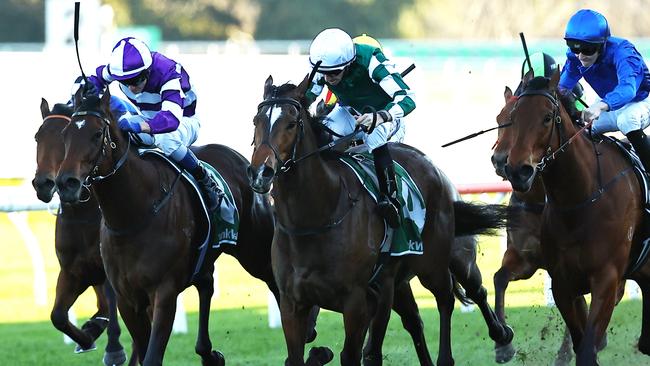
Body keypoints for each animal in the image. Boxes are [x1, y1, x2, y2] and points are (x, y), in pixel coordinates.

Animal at [32, 98, 128, 364]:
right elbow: (58, 316)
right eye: (37, 137)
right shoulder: (73, 271)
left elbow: (111, 311)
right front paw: (87, 336)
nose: (43, 183)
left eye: (62, 138)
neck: (82, 215)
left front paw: (113, 348)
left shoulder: (109, 272)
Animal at [55, 89, 280, 366]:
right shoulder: (126, 297)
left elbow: (151, 356)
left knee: (275, 281)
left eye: (97, 134)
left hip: (255, 251)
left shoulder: (164, 292)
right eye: (65, 135)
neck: (132, 217)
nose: (66, 183)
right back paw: (209, 353)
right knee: (206, 283)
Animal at [247, 76, 506, 364]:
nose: (261, 172)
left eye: (291, 123)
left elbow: (356, 354)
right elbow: (297, 355)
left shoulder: (358, 299)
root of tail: (430, 165)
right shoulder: (293, 303)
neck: (314, 221)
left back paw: (497, 338)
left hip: (435, 262)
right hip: (399, 281)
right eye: (256, 121)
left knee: (454, 295)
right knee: (415, 319)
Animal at [498, 70, 644, 364]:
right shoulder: (558, 278)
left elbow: (587, 347)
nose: (515, 170)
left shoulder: (606, 278)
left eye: (546, 117)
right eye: (508, 119)